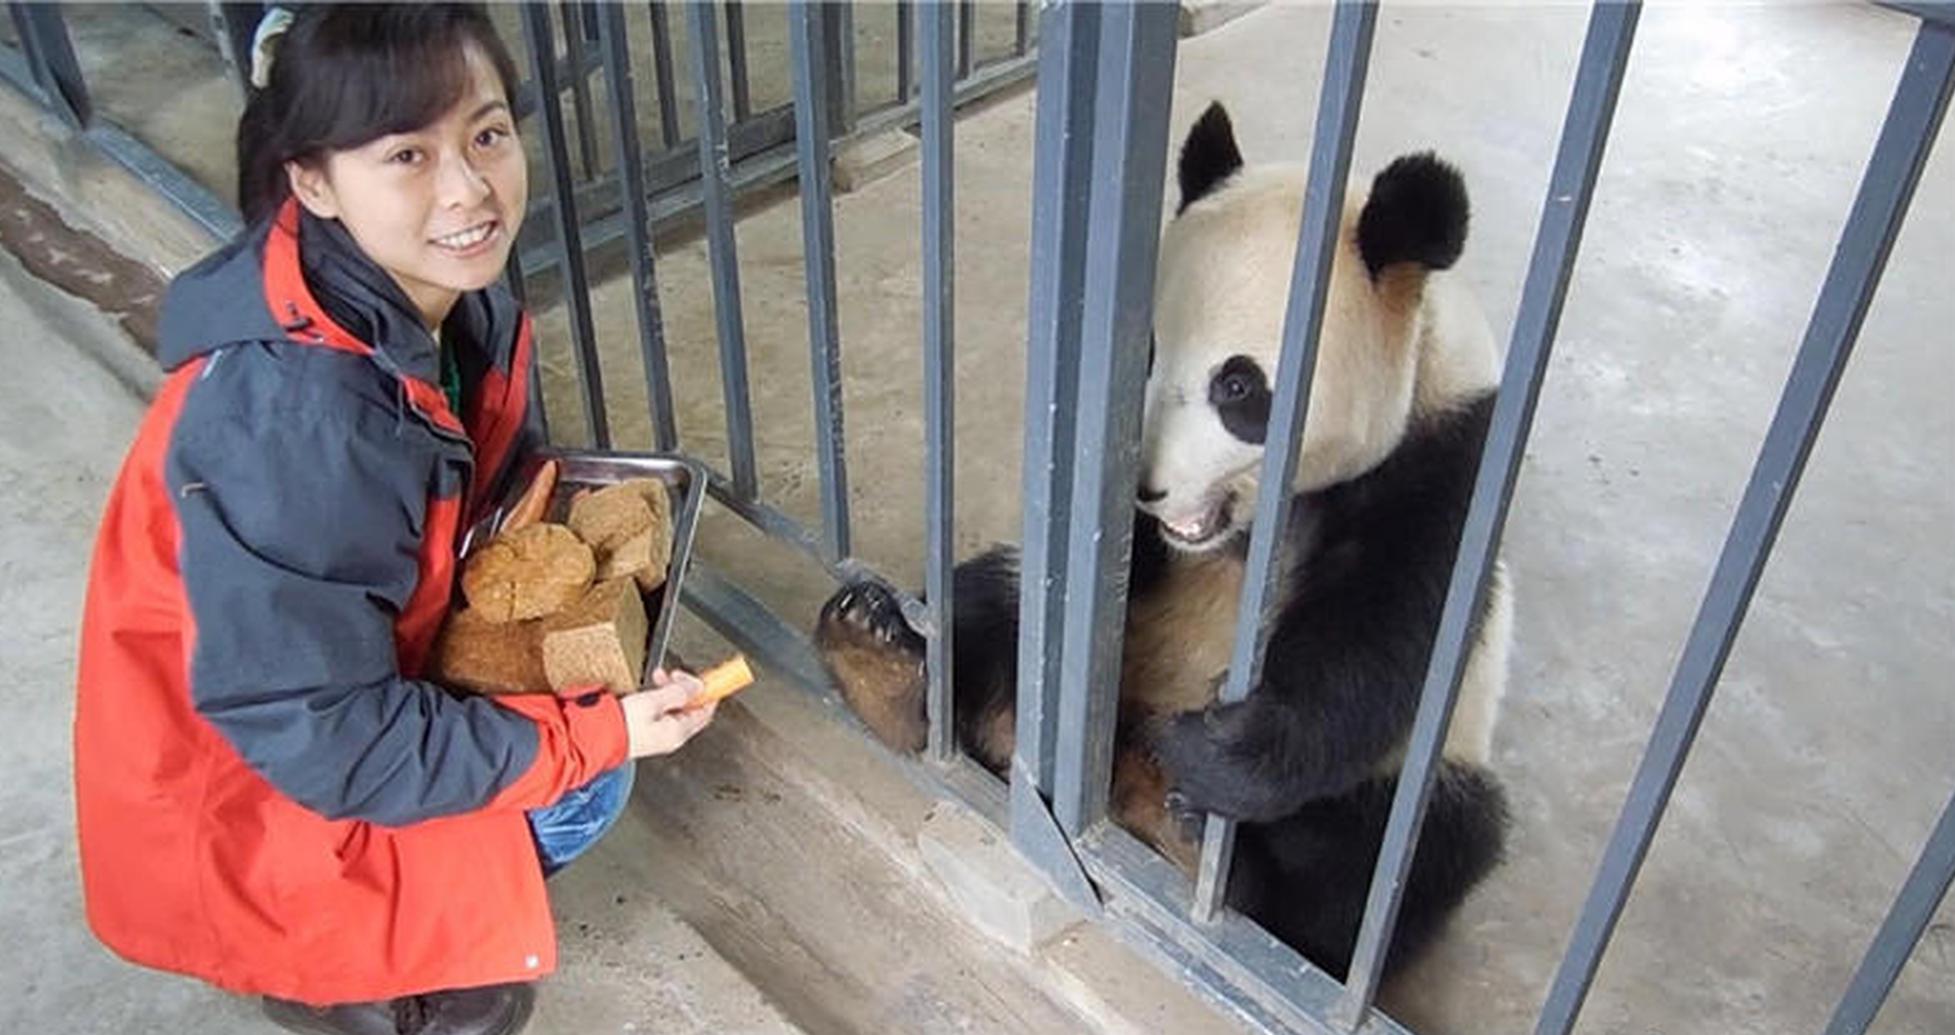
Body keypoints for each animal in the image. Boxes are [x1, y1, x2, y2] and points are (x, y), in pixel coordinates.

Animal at [809, 104, 1509, 986]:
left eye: (1237, 386)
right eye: (1141, 352)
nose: (1148, 489)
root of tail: (1121, 765)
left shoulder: (1446, 463)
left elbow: (1380, 639)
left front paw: (1212, 752)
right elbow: (1088, 564)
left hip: (1432, 769)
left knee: (1397, 854)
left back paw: (1199, 842)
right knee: (988, 602)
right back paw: (882, 658)